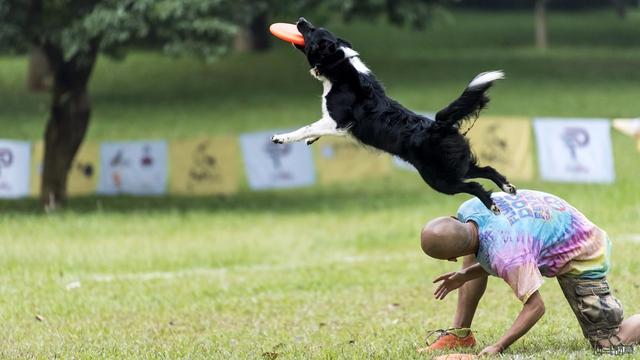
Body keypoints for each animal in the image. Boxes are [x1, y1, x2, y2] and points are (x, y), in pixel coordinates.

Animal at [272, 17, 516, 214]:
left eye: (312, 31)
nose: (301, 20)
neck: (341, 67)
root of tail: (440, 125)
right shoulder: (333, 124)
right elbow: (314, 128)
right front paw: (311, 139)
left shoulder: (337, 122)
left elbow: (307, 127)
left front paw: (281, 138)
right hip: (456, 166)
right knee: (486, 169)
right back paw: (508, 187)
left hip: (440, 179)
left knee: (473, 185)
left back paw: (492, 205)